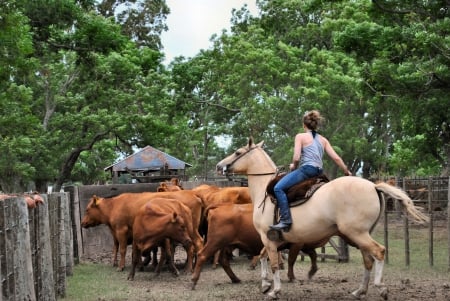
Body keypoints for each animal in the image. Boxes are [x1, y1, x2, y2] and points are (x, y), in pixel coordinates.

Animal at [217, 138, 428, 298]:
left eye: (237, 152)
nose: (219, 166)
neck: (265, 191)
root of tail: (373, 186)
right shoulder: (275, 240)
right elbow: (263, 257)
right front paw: (265, 284)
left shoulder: (267, 237)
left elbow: (274, 263)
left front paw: (274, 290)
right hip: (361, 234)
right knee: (368, 259)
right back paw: (360, 291)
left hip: (357, 233)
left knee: (379, 252)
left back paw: (380, 288)